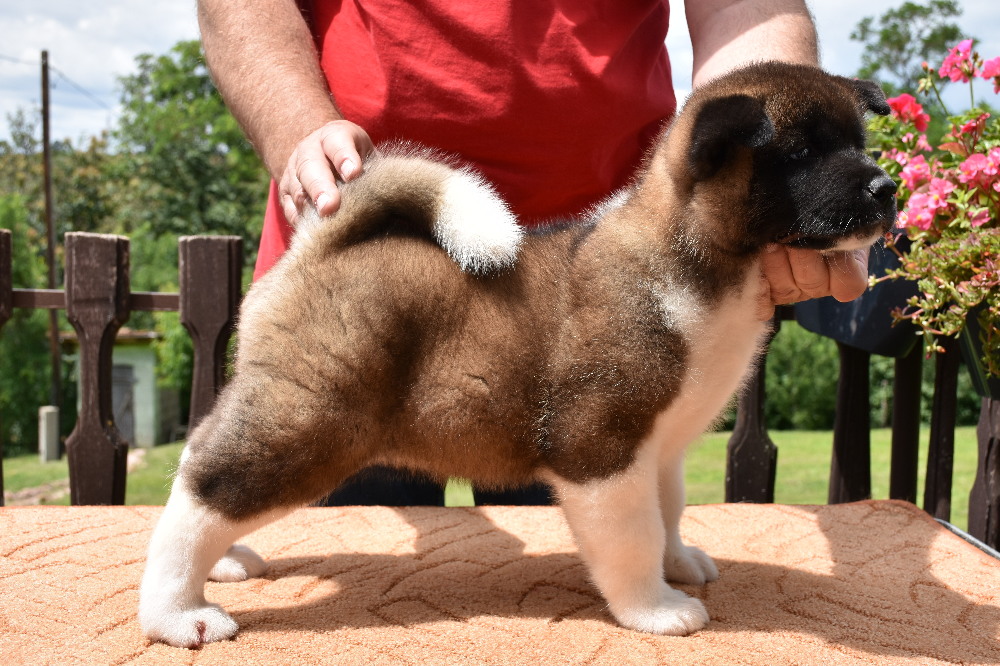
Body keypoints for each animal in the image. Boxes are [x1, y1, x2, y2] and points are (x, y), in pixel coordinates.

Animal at [139, 62, 896, 647]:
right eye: (800, 153)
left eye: (858, 143)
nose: (886, 188)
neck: (697, 255)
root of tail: (322, 248)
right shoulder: (603, 448)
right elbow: (633, 538)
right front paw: (654, 608)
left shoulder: (663, 447)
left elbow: (669, 513)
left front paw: (679, 561)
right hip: (312, 420)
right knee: (206, 488)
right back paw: (177, 612)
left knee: (203, 464)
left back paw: (224, 562)